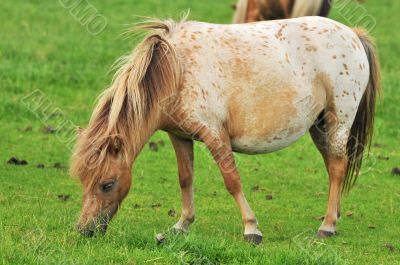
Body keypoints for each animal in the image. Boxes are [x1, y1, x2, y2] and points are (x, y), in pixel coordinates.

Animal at [69, 16, 382, 243]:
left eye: (107, 183)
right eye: (84, 180)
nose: (85, 230)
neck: (176, 71)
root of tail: (353, 34)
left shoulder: (214, 134)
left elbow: (232, 180)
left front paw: (251, 229)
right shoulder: (179, 136)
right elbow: (185, 178)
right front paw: (181, 226)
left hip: (338, 120)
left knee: (338, 166)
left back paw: (327, 226)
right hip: (319, 127)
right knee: (333, 166)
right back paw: (334, 217)